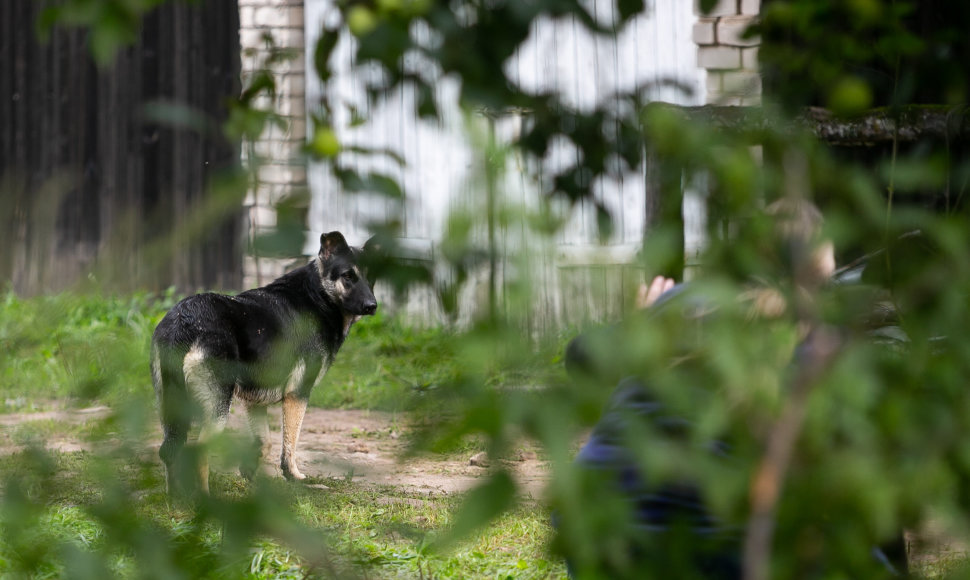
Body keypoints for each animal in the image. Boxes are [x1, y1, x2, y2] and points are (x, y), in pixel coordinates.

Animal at [151, 231, 378, 494]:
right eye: (348, 276)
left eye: (371, 278)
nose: (372, 306)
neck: (319, 295)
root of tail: (183, 322)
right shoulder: (297, 394)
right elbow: (289, 445)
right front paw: (294, 477)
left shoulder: (254, 401)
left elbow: (265, 443)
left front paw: (249, 472)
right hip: (218, 406)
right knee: (197, 451)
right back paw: (203, 497)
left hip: (171, 407)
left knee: (169, 450)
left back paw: (174, 497)